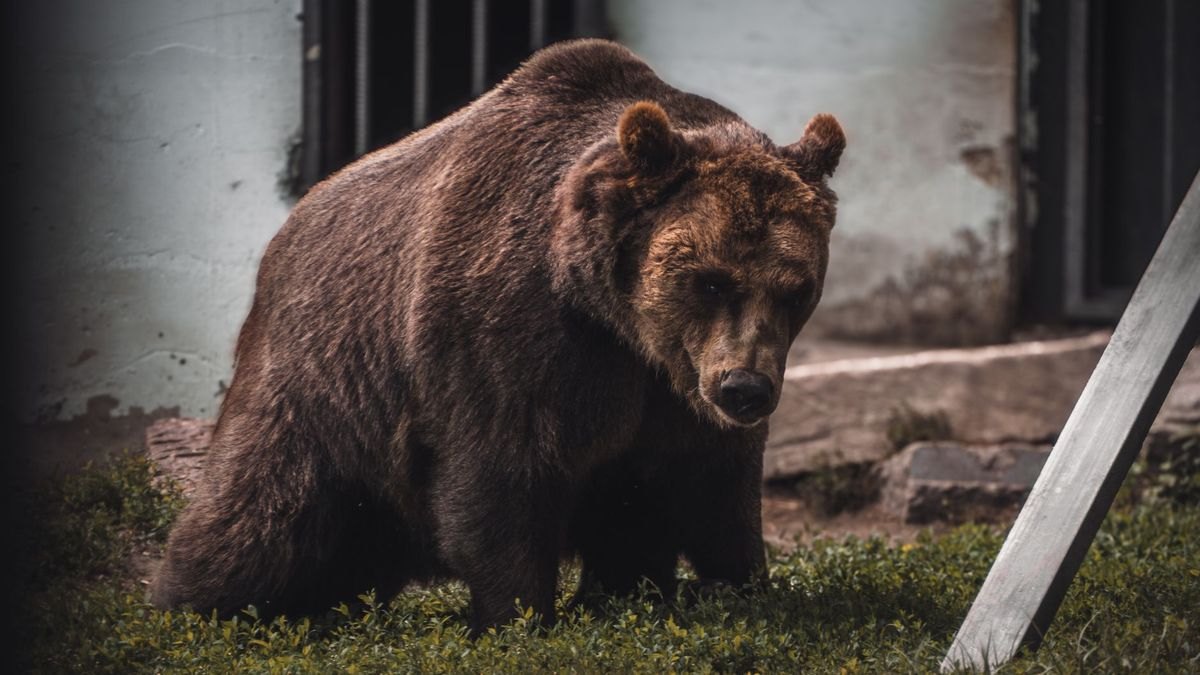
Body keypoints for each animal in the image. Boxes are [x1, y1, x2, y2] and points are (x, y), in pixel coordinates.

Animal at [151, 38, 845, 631]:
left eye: (795, 289)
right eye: (711, 281)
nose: (745, 389)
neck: (616, 320)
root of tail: (284, 235)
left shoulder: (673, 391)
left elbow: (713, 489)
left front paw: (741, 584)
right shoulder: (509, 337)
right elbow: (503, 476)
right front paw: (517, 616)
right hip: (323, 385)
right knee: (257, 522)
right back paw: (189, 606)